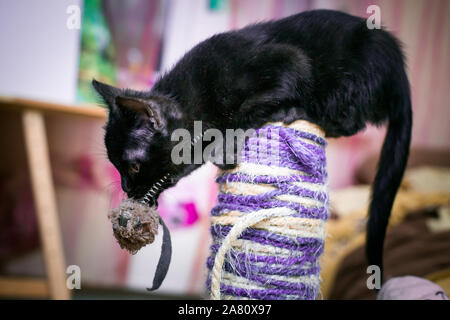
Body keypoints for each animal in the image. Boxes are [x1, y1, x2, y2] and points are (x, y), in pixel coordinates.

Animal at [93, 9, 414, 280]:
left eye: (134, 166)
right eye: (117, 167)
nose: (126, 188)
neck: (196, 98)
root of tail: (396, 60)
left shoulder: (290, 59)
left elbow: (246, 108)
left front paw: (225, 142)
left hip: (344, 83)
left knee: (350, 122)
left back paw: (299, 112)